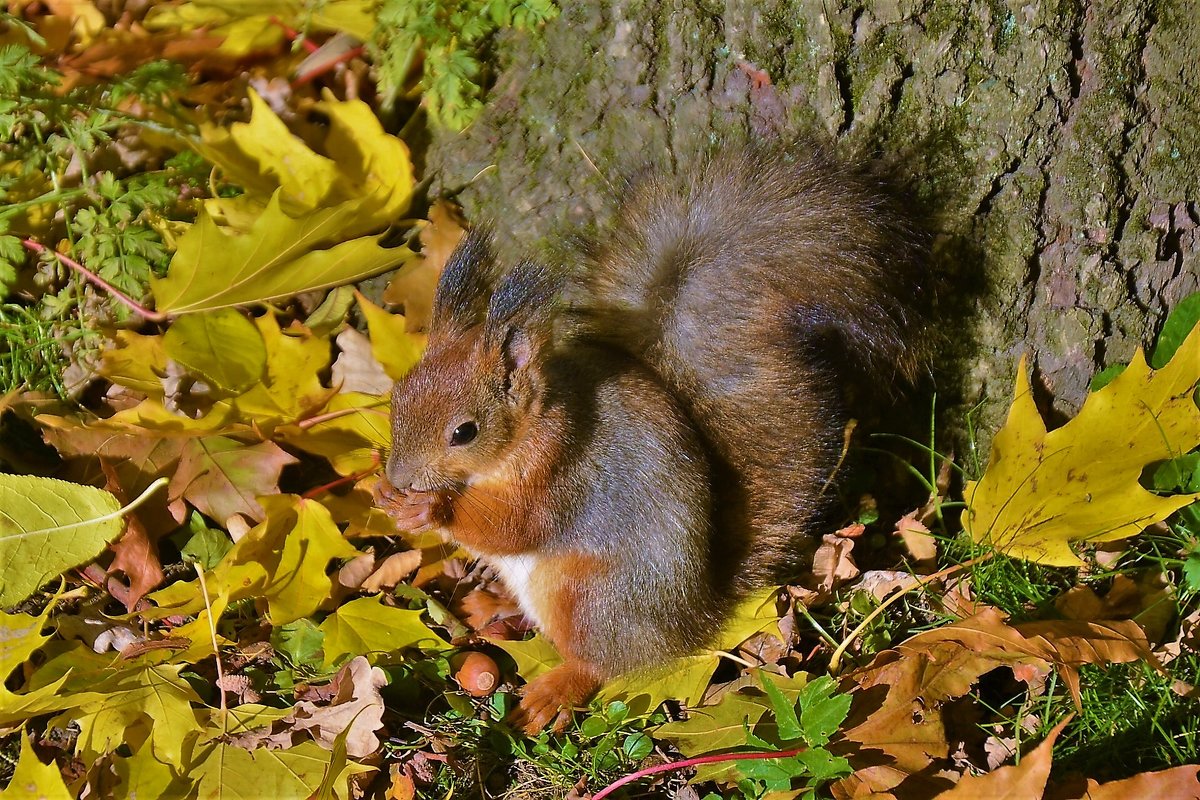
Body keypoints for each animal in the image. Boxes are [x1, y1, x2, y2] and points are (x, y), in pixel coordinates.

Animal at [372, 142, 926, 734]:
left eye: (464, 432)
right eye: (397, 397)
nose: (399, 475)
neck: (531, 430)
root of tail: (690, 620)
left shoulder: (564, 474)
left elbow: (515, 527)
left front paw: (427, 510)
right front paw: (384, 493)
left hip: (591, 598)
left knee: (601, 662)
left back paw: (553, 691)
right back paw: (491, 605)